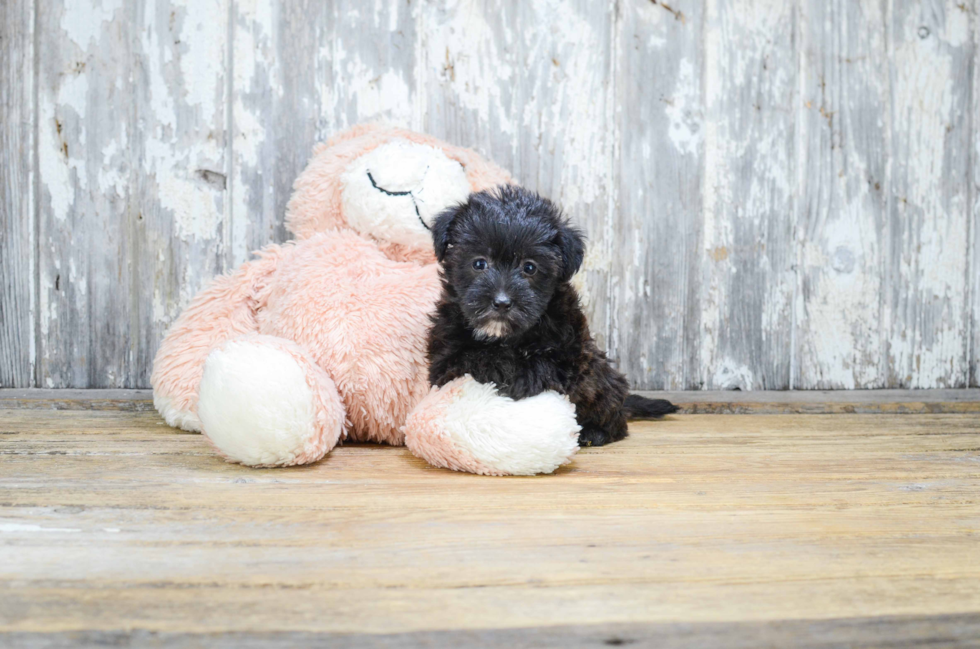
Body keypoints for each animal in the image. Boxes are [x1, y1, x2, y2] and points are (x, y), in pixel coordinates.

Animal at [424, 184, 676, 446]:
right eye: (479, 263)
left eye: (529, 267)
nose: (502, 302)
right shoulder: (444, 354)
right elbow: (475, 357)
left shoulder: (570, 355)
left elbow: (540, 366)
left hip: (600, 377)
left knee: (613, 414)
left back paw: (594, 432)